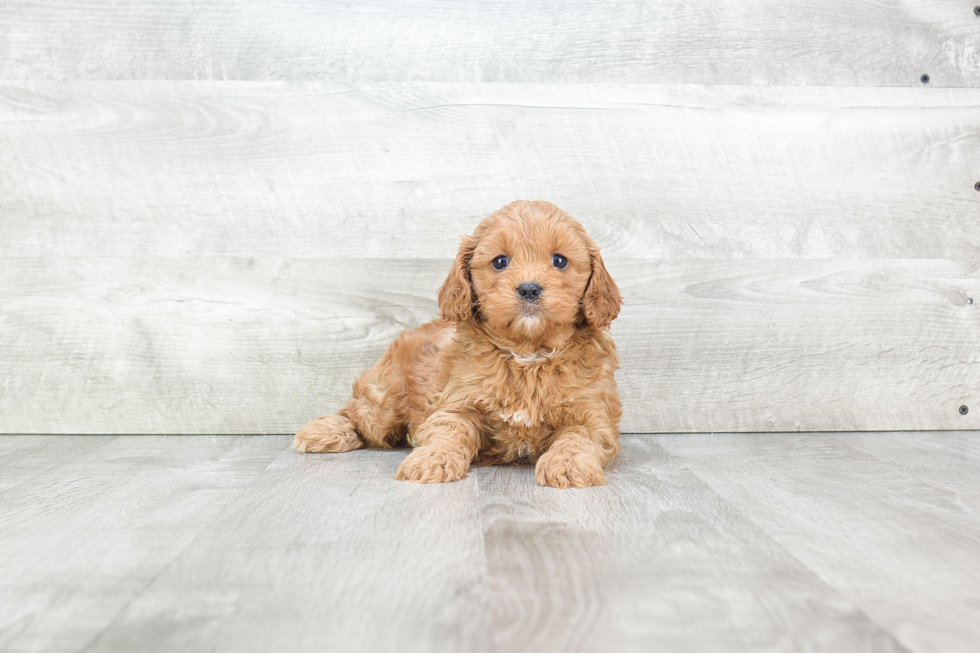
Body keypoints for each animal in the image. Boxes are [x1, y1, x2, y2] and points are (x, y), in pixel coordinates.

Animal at [294, 201, 624, 486]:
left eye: (559, 261)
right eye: (500, 261)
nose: (529, 289)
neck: (528, 354)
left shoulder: (591, 414)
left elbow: (577, 438)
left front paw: (568, 465)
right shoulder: (458, 404)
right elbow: (449, 431)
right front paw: (431, 459)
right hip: (385, 399)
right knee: (356, 413)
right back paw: (323, 432)